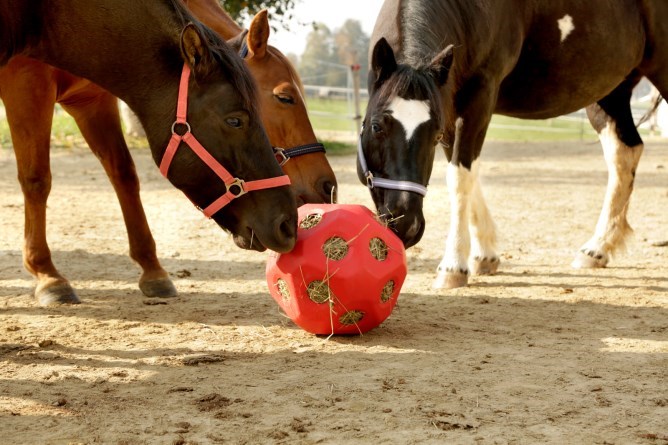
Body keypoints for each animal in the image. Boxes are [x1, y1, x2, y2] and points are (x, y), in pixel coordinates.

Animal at [0, 0, 298, 306]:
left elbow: (124, 174)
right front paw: (48, 276)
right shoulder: (27, 86)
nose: (288, 224)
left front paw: (153, 271)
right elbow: (37, 179)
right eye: (235, 120)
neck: (43, 13)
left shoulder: (90, 100)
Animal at [360, 0, 668, 288]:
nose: (406, 224)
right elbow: (466, 173)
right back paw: (597, 248)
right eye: (376, 126)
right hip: (611, 92)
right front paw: (485, 255)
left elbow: (460, 178)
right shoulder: (451, 106)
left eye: (434, 135)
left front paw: (453, 267)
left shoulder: (478, 97)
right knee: (625, 154)